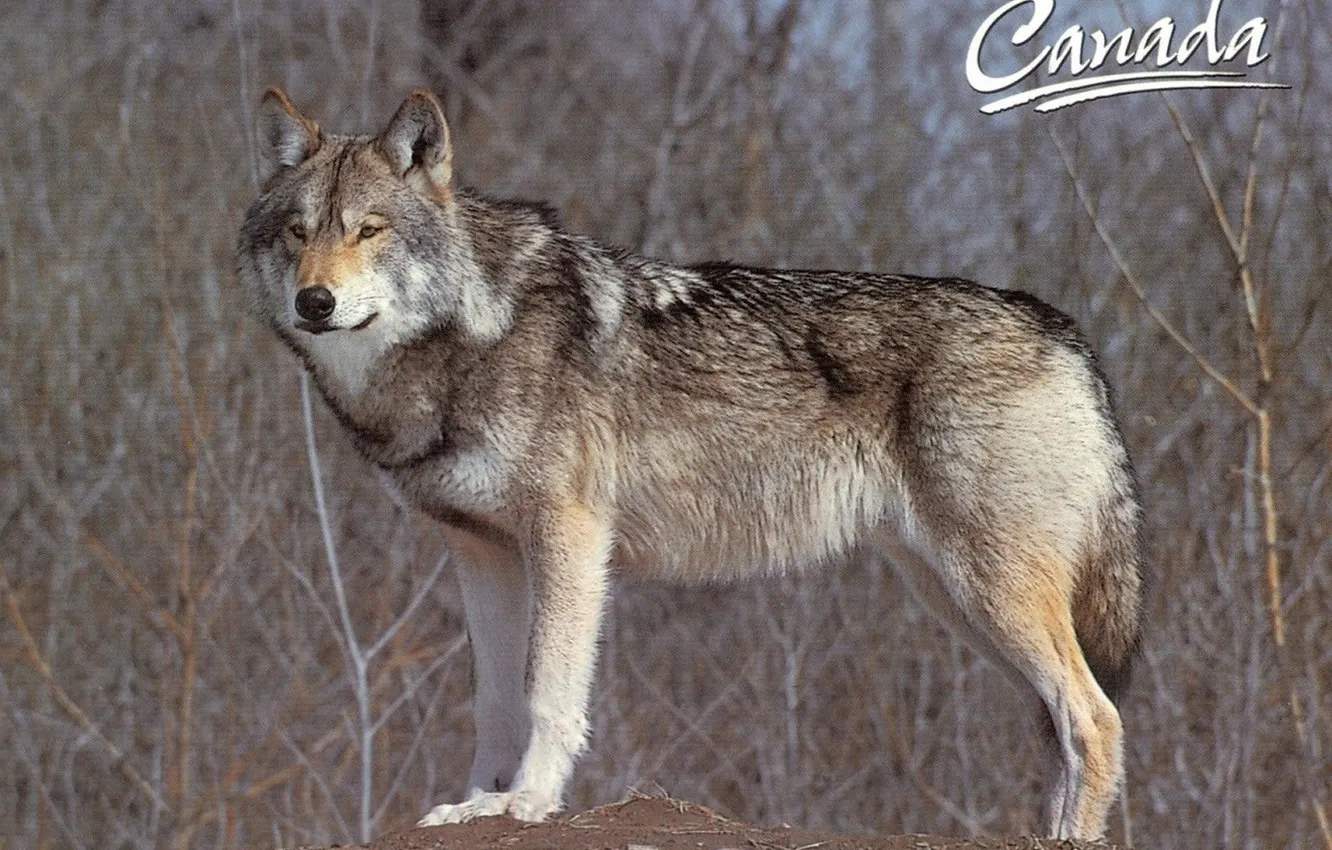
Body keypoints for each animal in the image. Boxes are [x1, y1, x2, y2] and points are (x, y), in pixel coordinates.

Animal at [236, 88, 1144, 841]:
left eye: (369, 230)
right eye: (299, 232)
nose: (313, 301)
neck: (469, 335)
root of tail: (1067, 332)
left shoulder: (568, 536)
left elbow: (546, 689)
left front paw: (529, 802)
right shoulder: (480, 549)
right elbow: (494, 698)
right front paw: (480, 803)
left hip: (988, 590)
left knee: (1094, 718)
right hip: (952, 595)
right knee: (1063, 723)